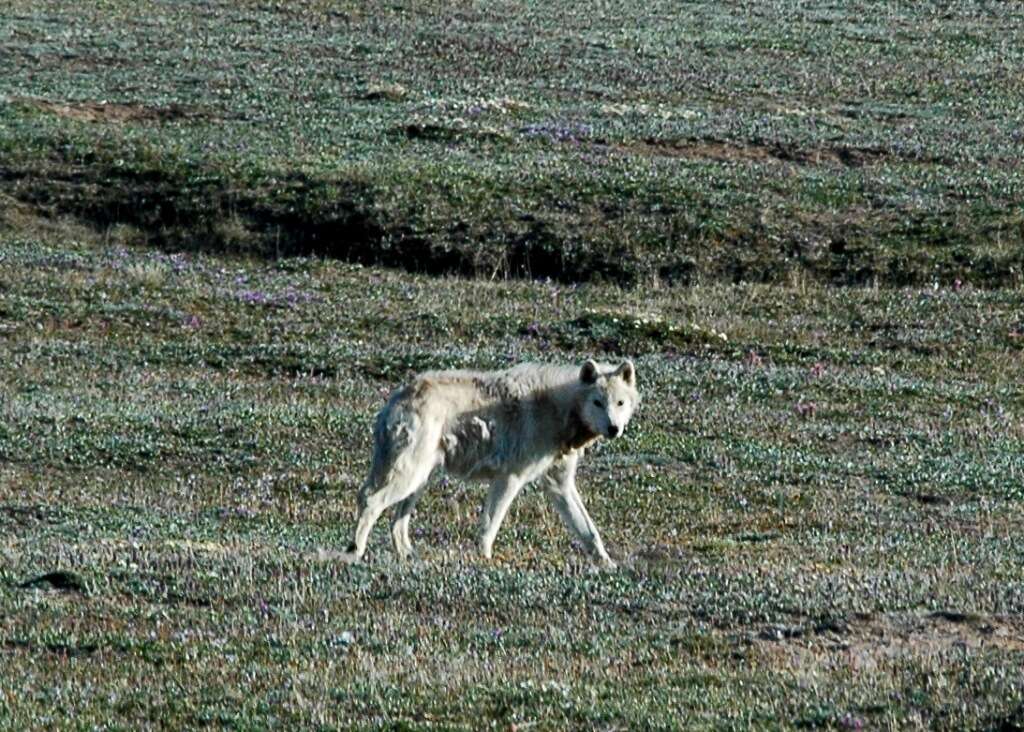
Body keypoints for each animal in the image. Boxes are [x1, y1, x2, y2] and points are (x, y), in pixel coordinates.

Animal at [339, 360, 634, 565]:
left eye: (620, 403)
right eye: (597, 402)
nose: (614, 428)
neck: (559, 410)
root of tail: (398, 396)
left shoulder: (559, 484)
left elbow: (589, 531)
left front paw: (607, 565)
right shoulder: (510, 478)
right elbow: (490, 525)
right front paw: (484, 560)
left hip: (419, 481)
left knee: (397, 521)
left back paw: (408, 555)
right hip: (408, 476)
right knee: (369, 499)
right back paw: (354, 552)